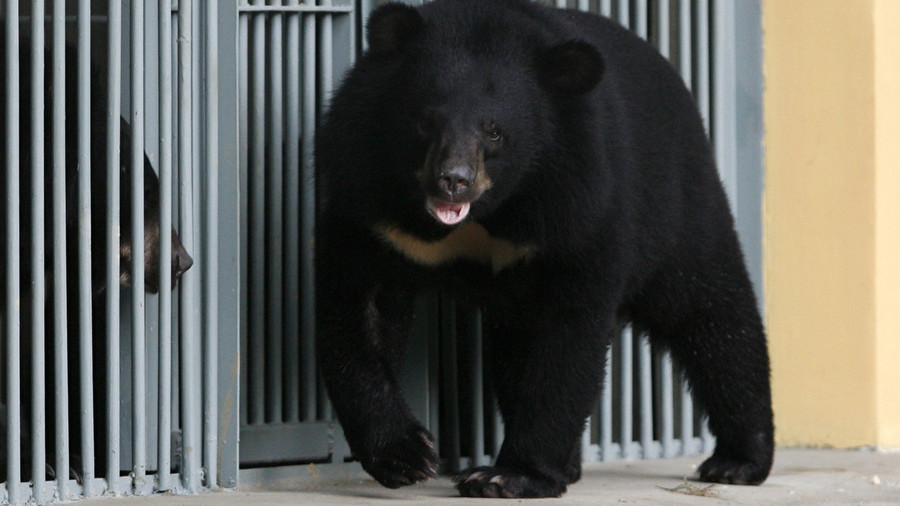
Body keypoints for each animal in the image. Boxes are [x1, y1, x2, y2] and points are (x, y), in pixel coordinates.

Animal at [312, 0, 768, 498]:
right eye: (425, 121)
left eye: (494, 132)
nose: (452, 180)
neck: (486, 213)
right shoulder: (369, 198)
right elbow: (358, 310)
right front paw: (407, 456)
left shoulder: (579, 202)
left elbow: (566, 335)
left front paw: (506, 476)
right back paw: (571, 466)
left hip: (677, 202)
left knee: (712, 315)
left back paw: (738, 461)